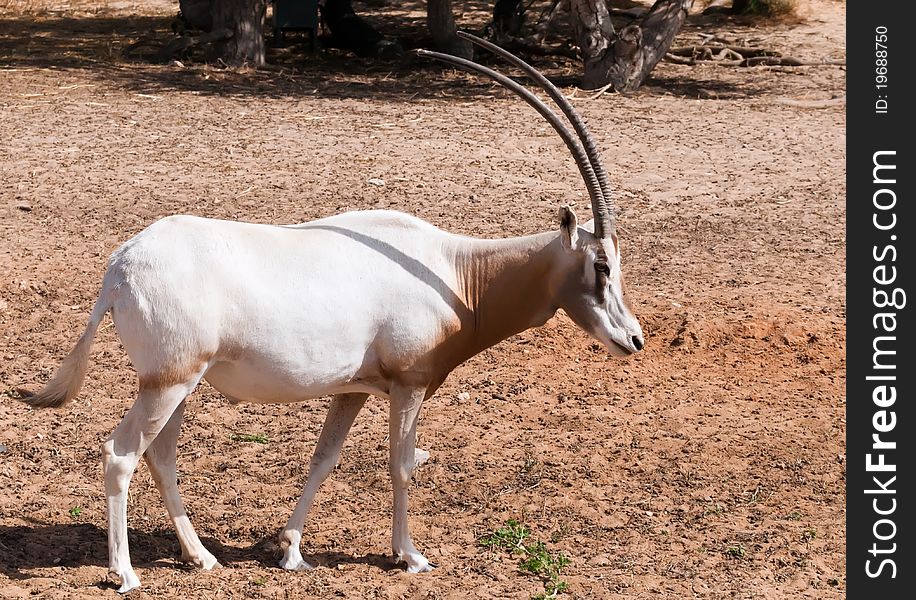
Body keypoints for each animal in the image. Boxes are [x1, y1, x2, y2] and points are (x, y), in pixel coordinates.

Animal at [19, 32, 644, 592]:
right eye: (601, 266)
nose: (633, 339)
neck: (457, 272)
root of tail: (121, 265)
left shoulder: (353, 389)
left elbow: (325, 458)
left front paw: (290, 550)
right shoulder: (409, 384)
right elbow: (401, 462)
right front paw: (409, 556)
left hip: (175, 383)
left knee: (161, 455)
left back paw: (201, 558)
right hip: (168, 381)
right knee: (122, 453)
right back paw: (124, 573)